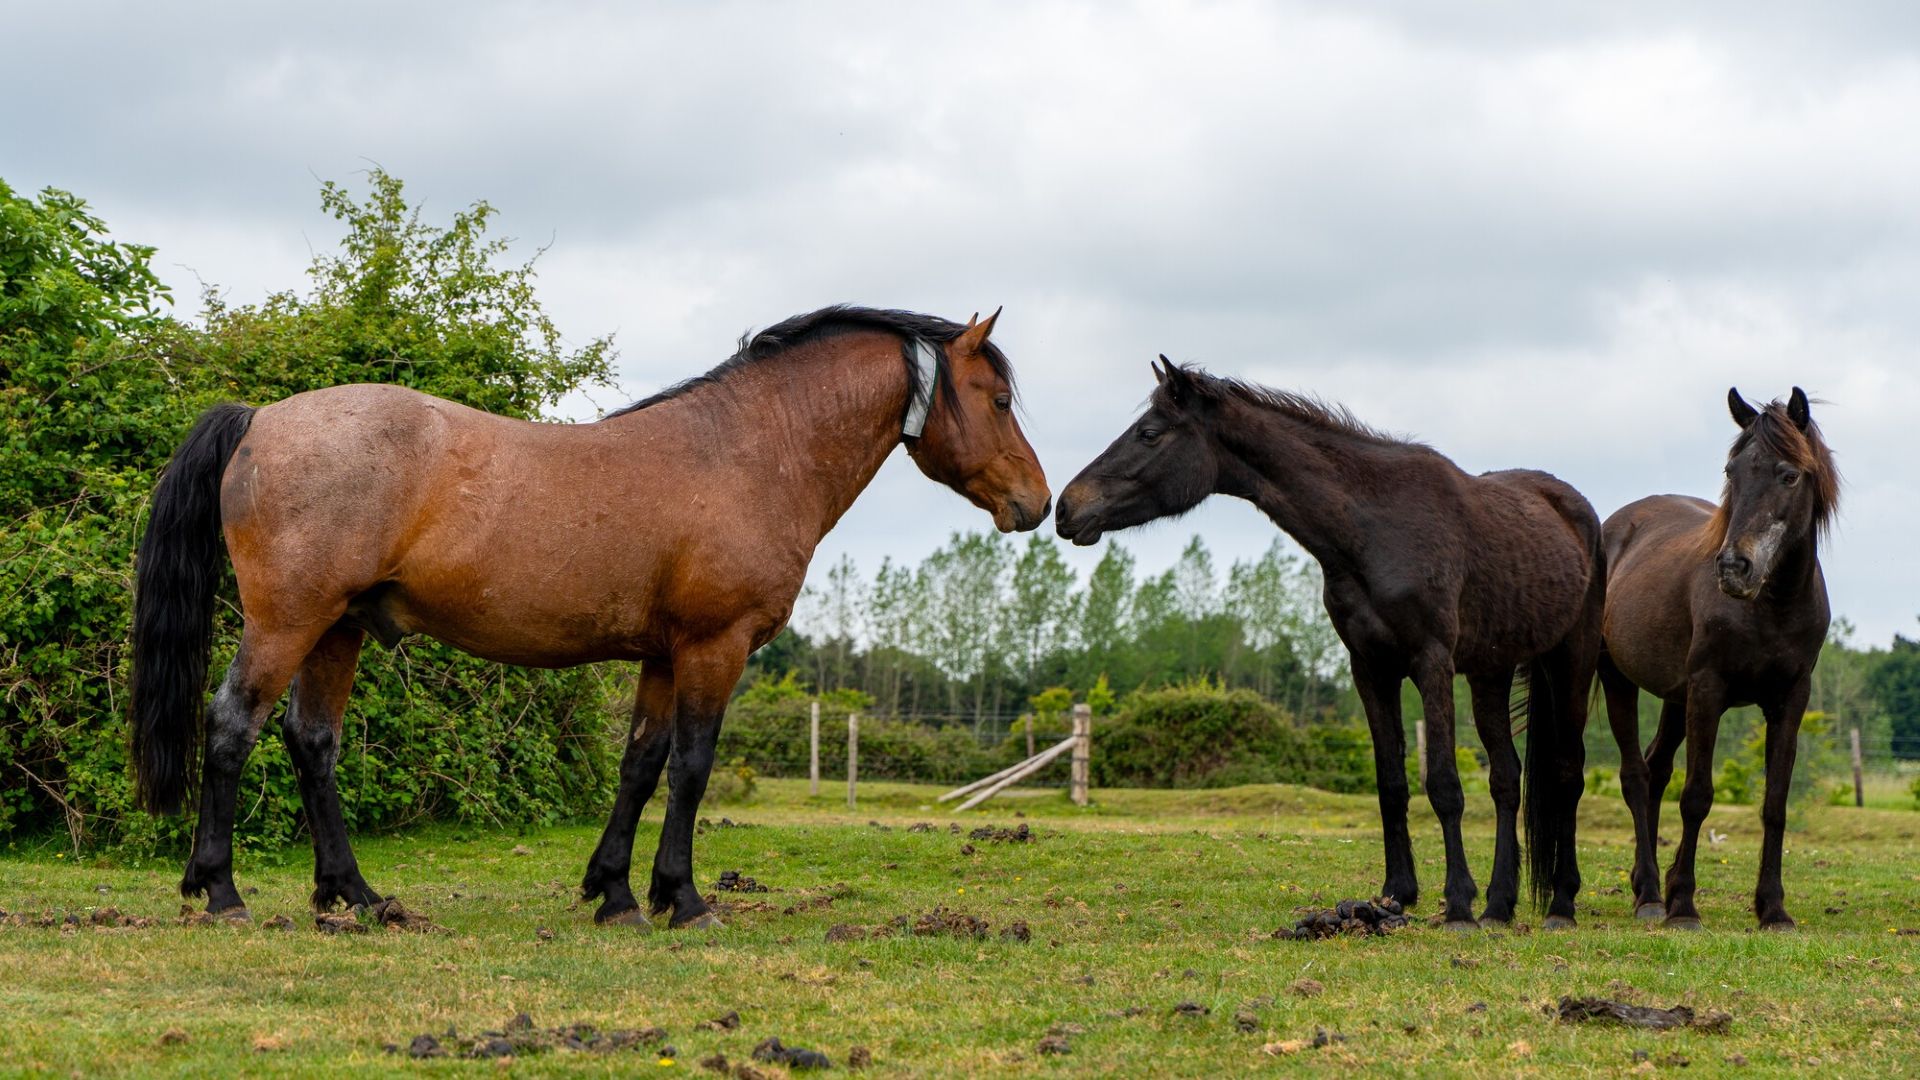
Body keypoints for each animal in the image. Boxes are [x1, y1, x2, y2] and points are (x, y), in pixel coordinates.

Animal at [129, 305, 1050, 929]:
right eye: (999, 398)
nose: (1036, 503)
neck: (751, 450)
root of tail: (262, 419)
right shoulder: (715, 647)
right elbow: (692, 767)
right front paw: (685, 899)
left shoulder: (664, 654)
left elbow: (640, 765)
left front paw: (615, 892)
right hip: (288, 622)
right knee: (232, 725)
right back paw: (221, 891)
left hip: (339, 630)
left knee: (311, 742)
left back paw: (355, 895)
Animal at [1056, 360, 1605, 928]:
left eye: (1149, 433)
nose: (1066, 508)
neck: (1375, 527)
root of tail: (1577, 512)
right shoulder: (1370, 668)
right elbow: (1392, 784)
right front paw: (1397, 894)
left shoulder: (1431, 663)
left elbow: (1444, 785)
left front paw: (1456, 903)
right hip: (1490, 673)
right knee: (1506, 779)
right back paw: (1498, 904)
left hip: (1571, 661)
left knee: (1567, 774)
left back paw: (1560, 902)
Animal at [1598, 387, 1837, 930]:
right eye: (1733, 470)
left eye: (1789, 474)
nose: (1732, 568)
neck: (1773, 607)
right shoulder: (1708, 691)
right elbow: (1697, 796)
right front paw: (1683, 905)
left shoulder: (1791, 699)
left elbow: (1775, 803)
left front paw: (1773, 909)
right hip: (1618, 678)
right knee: (1636, 776)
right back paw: (1651, 897)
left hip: (1674, 697)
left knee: (1655, 769)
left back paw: (1646, 885)